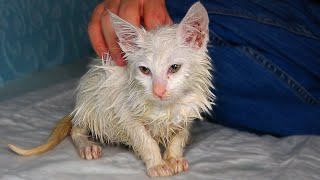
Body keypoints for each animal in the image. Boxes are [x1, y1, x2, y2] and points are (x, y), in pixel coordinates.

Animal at [9, 2, 215, 177]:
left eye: (174, 68)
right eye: (144, 70)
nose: (158, 91)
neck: (165, 107)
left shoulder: (189, 107)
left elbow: (179, 133)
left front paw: (174, 157)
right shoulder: (126, 110)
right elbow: (144, 139)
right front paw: (157, 164)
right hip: (91, 99)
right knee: (76, 127)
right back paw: (87, 145)